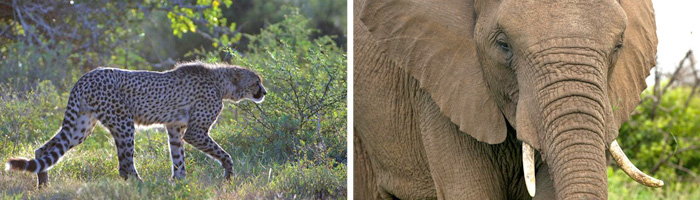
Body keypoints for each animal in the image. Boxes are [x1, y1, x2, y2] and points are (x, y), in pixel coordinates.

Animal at [4, 61, 266, 188]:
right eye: (257, 81)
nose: (264, 92)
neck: (222, 83)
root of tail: (87, 75)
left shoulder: (175, 128)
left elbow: (178, 157)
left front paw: (178, 182)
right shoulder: (194, 131)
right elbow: (224, 154)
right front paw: (229, 175)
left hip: (81, 127)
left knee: (43, 149)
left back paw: (43, 186)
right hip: (123, 122)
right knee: (125, 167)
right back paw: (143, 186)